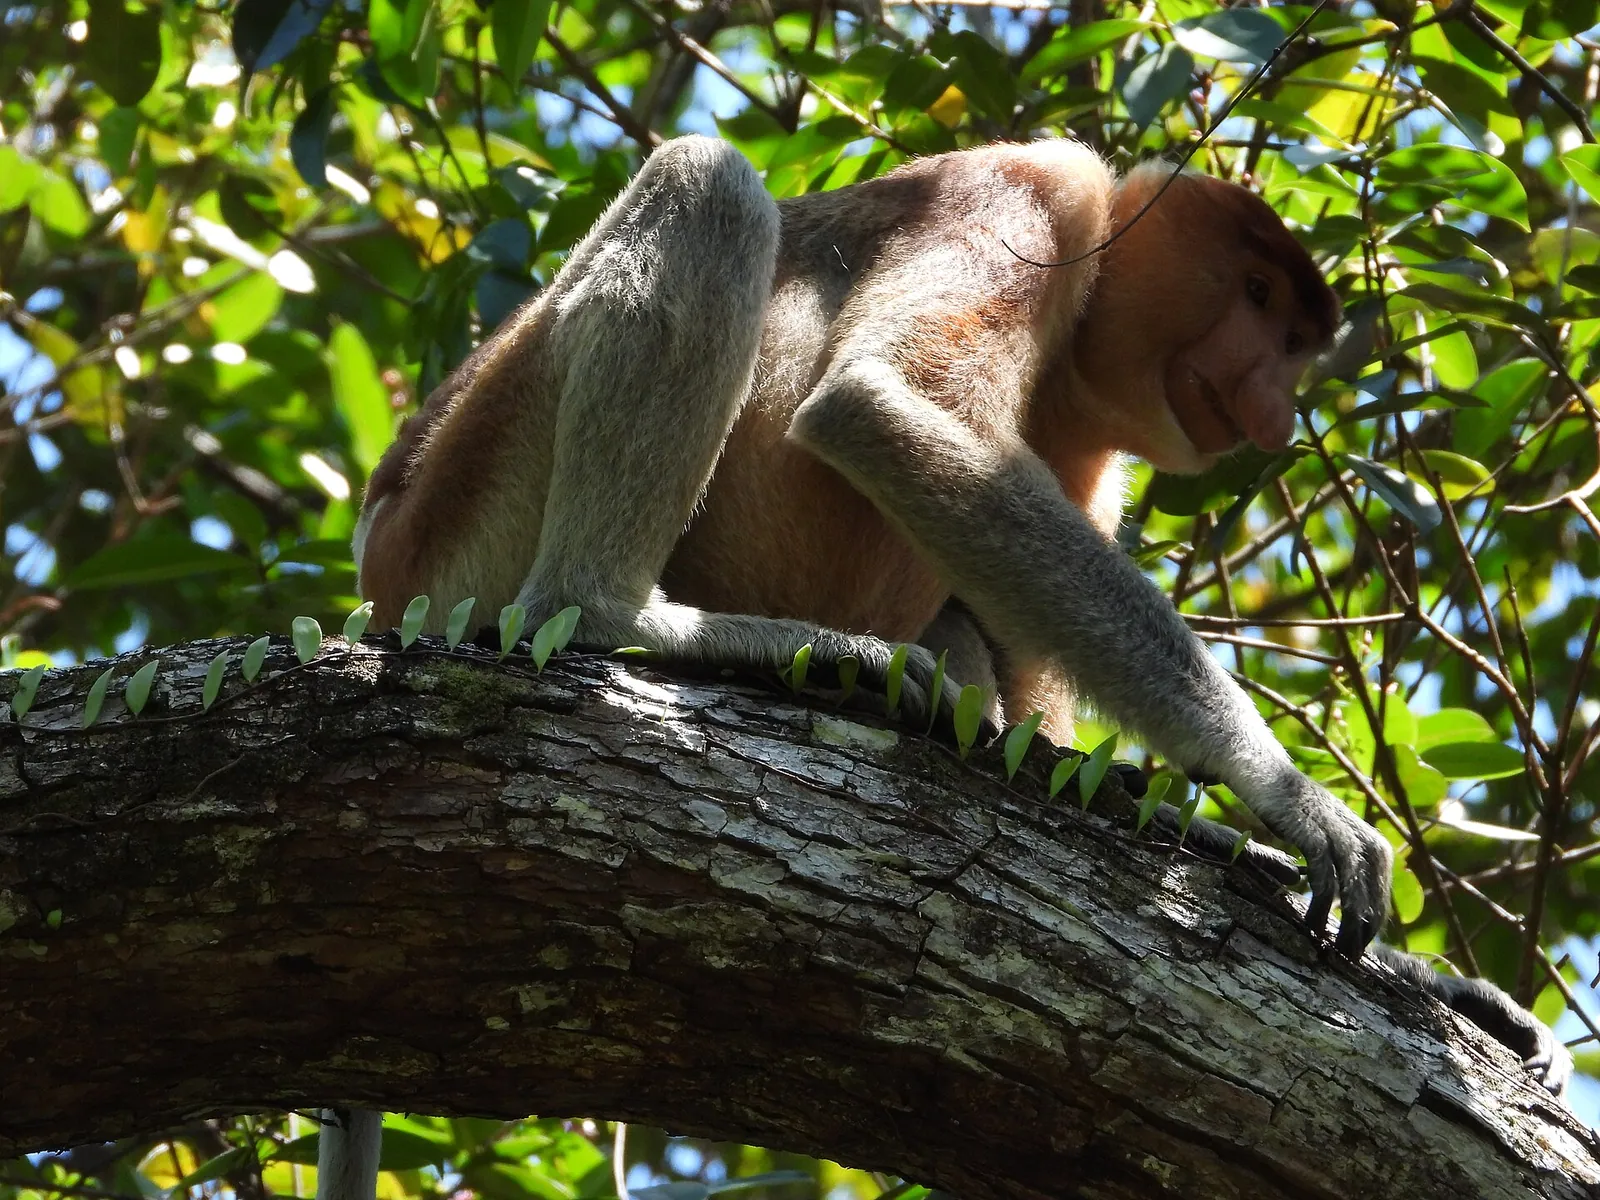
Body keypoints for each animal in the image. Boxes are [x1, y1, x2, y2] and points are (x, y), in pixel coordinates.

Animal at [325, 137, 1568, 1200]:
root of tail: (380, 555)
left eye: (1299, 341)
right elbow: (878, 404)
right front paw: (1291, 798)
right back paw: (671, 624)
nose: (1272, 407)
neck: (1079, 350)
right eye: (1258, 297)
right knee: (705, 180)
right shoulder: (1034, 194)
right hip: (460, 509)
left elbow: (1042, 721)